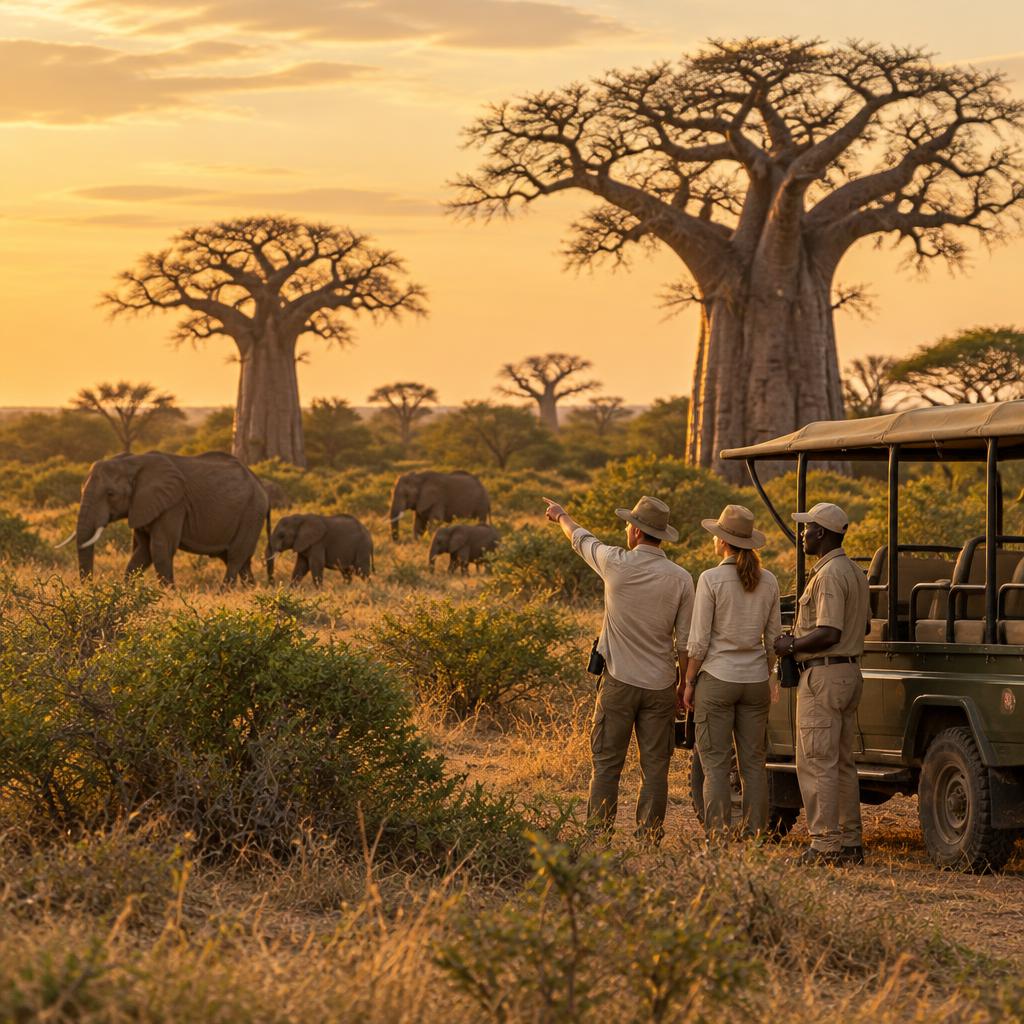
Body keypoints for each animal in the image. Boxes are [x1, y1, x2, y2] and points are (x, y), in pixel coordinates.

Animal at [58, 451, 270, 586]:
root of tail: (260, 483)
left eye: (110, 494)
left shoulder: (173, 505)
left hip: (252, 513)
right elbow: (142, 552)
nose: (89, 587)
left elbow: (160, 549)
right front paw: (125, 593)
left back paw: (223, 594)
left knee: (235, 557)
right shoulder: (141, 506)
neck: (132, 462)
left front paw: (168, 595)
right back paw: (250, 591)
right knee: (241, 561)